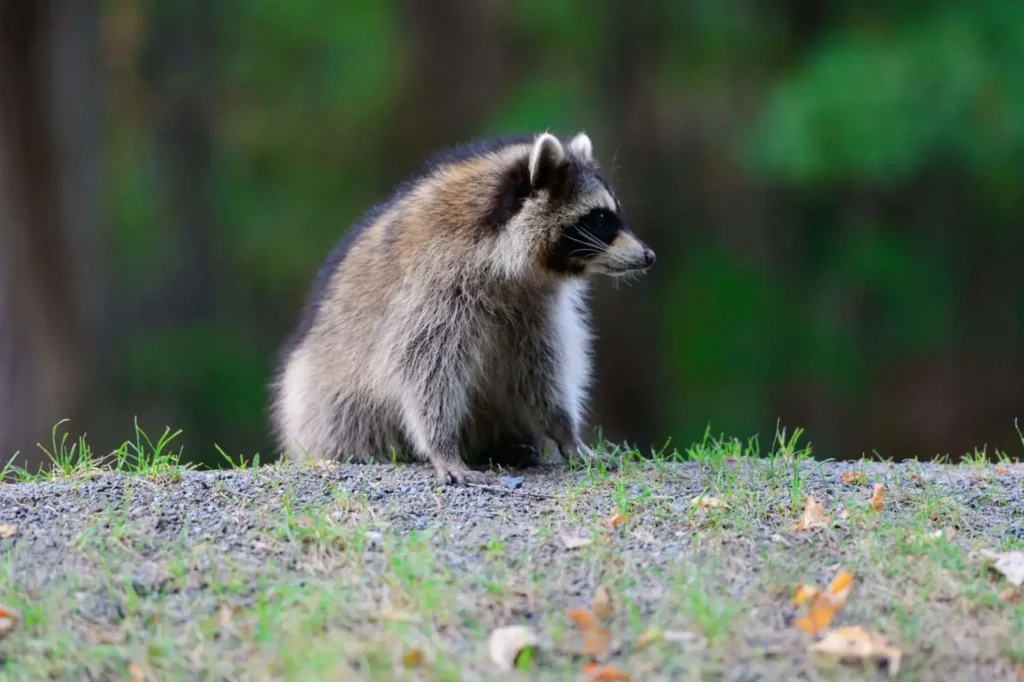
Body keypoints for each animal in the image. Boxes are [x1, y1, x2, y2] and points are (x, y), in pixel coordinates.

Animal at [271, 132, 654, 485]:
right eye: (600, 218)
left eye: (612, 214)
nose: (649, 255)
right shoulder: (434, 288)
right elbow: (424, 372)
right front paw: (441, 447)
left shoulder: (536, 307)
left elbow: (543, 370)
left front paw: (565, 431)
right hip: (324, 405)